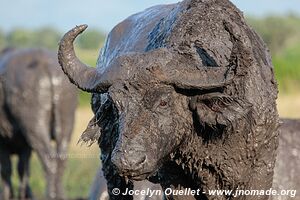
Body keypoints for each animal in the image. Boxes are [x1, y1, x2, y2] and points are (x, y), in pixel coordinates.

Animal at [0, 47, 77, 199]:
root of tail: (47, 65)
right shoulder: (24, 147)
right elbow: (22, 169)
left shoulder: (2, 142)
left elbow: (7, 170)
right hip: (66, 119)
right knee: (61, 160)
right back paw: (60, 194)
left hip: (35, 125)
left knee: (49, 159)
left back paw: (51, 194)